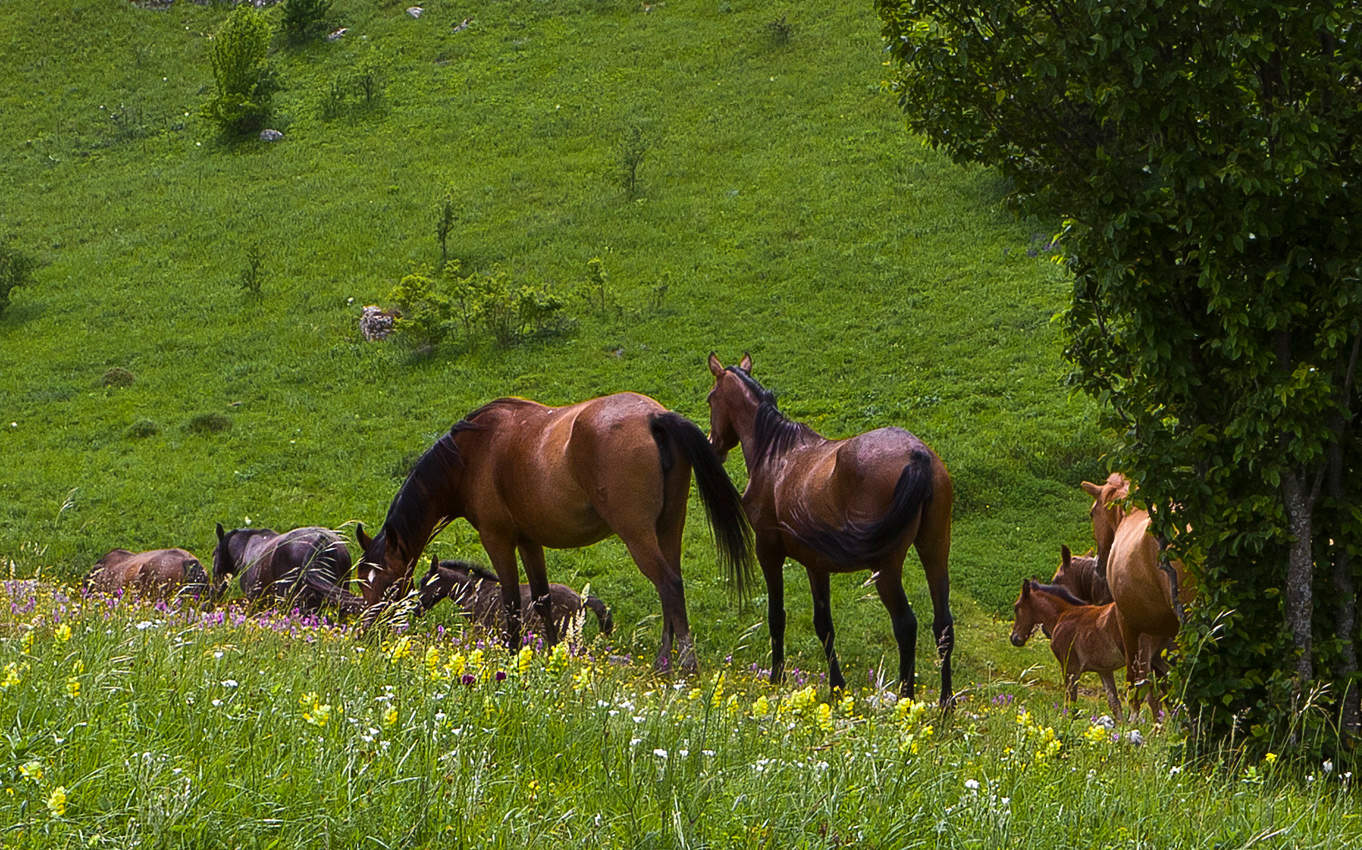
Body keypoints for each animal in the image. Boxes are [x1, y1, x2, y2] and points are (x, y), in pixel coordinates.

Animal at [705, 353, 955, 703]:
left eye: (710, 399)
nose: (713, 444)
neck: (775, 453)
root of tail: (917, 454)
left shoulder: (768, 551)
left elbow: (776, 616)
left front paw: (777, 677)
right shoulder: (816, 565)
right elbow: (824, 625)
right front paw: (837, 686)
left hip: (886, 568)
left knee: (906, 625)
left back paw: (907, 698)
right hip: (935, 548)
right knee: (943, 625)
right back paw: (946, 704)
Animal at [1010, 579, 1128, 719]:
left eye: (1016, 607)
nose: (1014, 638)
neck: (1063, 615)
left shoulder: (1070, 668)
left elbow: (1069, 702)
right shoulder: (1104, 670)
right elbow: (1114, 704)